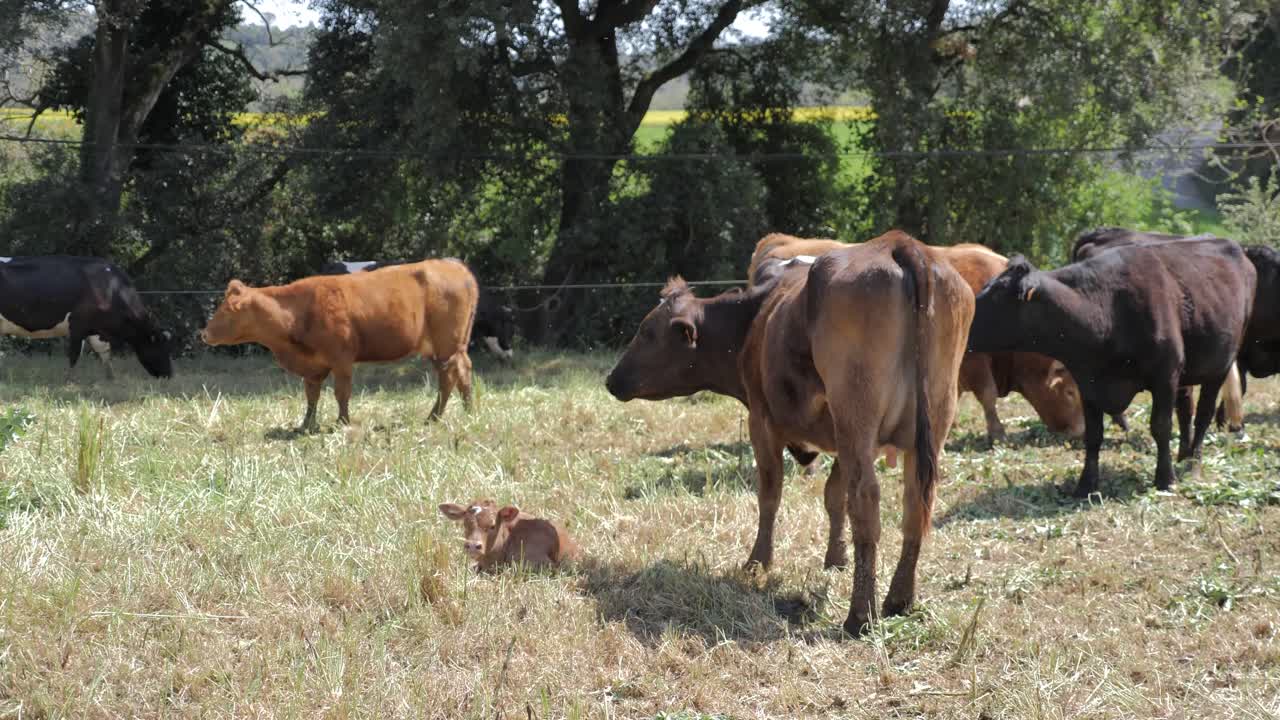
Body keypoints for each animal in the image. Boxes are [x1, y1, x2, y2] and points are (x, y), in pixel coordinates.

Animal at [0, 255, 172, 378]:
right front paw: (69, 380)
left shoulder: (96, 329)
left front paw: (111, 378)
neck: (110, 288)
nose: (169, 375)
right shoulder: (77, 326)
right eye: (161, 347)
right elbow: (74, 355)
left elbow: (104, 352)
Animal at [201, 259, 479, 429]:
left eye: (228, 311)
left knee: (448, 377)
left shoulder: (342, 359)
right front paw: (306, 425)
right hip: (449, 347)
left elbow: (341, 393)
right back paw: (467, 411)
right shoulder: (313, 367)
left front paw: (342, 422)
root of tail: (454, 266)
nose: (204, 333)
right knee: (463, 372)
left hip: (446, 345)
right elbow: (311, 395)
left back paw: (434, 417)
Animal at [607, 231, 973, 635]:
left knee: (866, 499)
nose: (611, 379)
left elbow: (770, 494)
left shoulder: (763, 423)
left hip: (856, 417)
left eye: (646, 332)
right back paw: (899, 599)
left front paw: (757, 562)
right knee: (915, 505)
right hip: (929, 423)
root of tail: (899, 242)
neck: (754, 317)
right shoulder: (841, 437)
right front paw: (835, 558)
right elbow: (833, 496)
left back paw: (859, 616)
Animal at [750, 233, 1085, 444]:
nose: (1080, 431)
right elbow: (988, 396)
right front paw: (997, 433)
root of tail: (780, 242)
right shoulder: (974, 361)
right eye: (1070, 392)